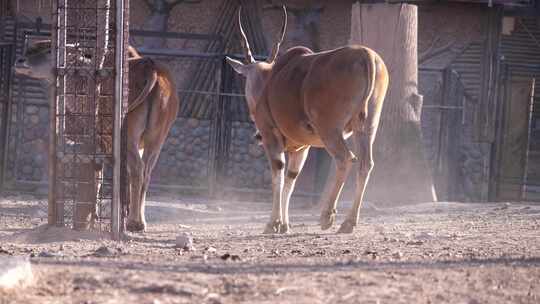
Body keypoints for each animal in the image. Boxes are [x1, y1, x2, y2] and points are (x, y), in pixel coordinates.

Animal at [14, 41, 179, 233]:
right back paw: (140, 221)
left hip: (129, 137)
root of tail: (152, 68)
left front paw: (93, 216)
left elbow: (98, 174)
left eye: (50, 49)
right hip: (156, 139)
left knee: (137, 169)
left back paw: (132, 222)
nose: (20, 61)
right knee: (146, 171)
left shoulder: (100, 141)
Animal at [227, 7, 388, 234]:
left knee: (346, 159)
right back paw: (348, 222)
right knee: (366, 164)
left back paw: (327, 217)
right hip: (366, 127)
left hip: (330, 131)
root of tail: (367, 56)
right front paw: (285, 225)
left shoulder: (270, 137)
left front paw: (273, 224)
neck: (268, 80)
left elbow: (278, 175)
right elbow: (291, 180)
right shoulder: (302, 148)